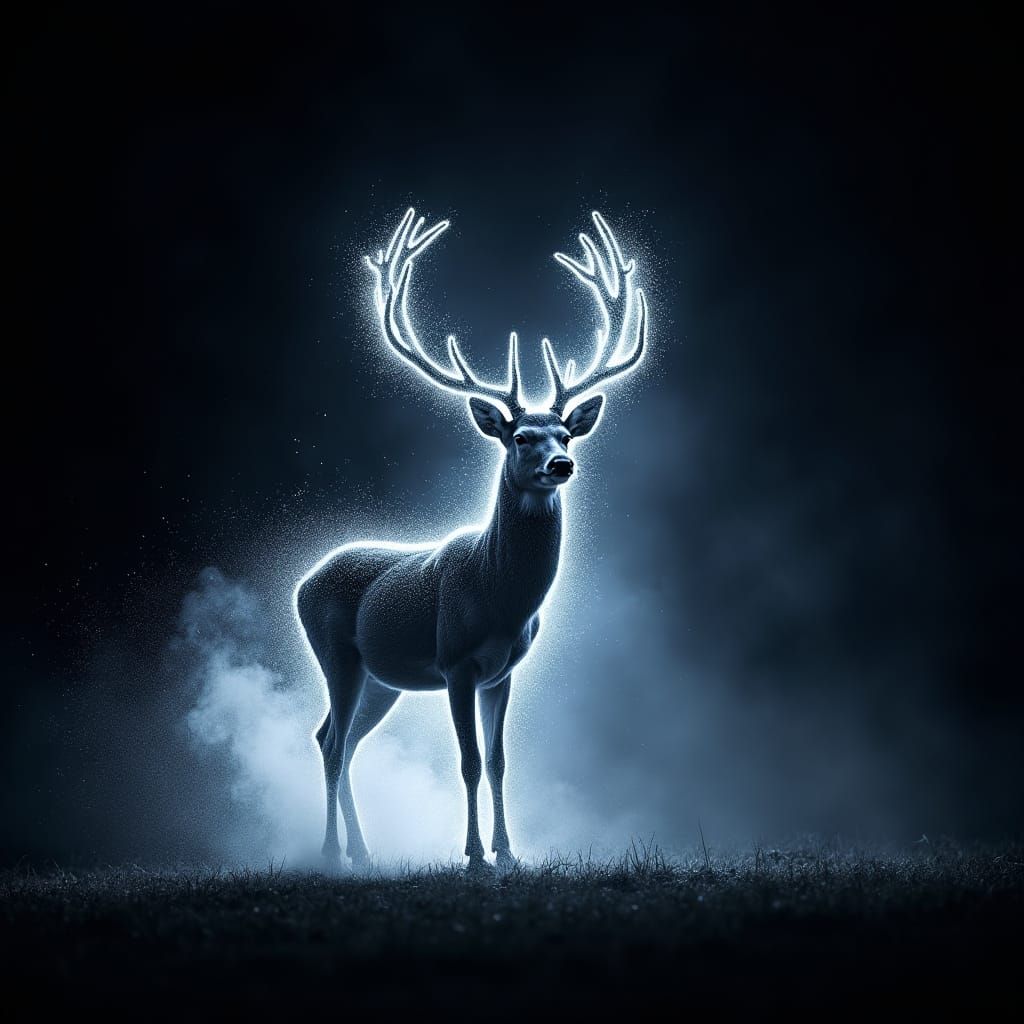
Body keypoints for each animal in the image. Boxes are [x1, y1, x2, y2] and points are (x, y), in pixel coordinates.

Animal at [295, 207, 648, 871]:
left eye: (567, 433)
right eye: (521, 437)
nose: (562, 464)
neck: (499, 599)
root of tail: (302, 581)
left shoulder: (503, 672)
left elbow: (502, 760)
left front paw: (510, 853)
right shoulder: (455, 662)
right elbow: (468, 761)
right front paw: (475, 855)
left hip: (381, 678)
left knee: (340, 739)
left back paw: (363, 853)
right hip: (337, 653)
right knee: (329, 741)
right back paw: (330, 854)